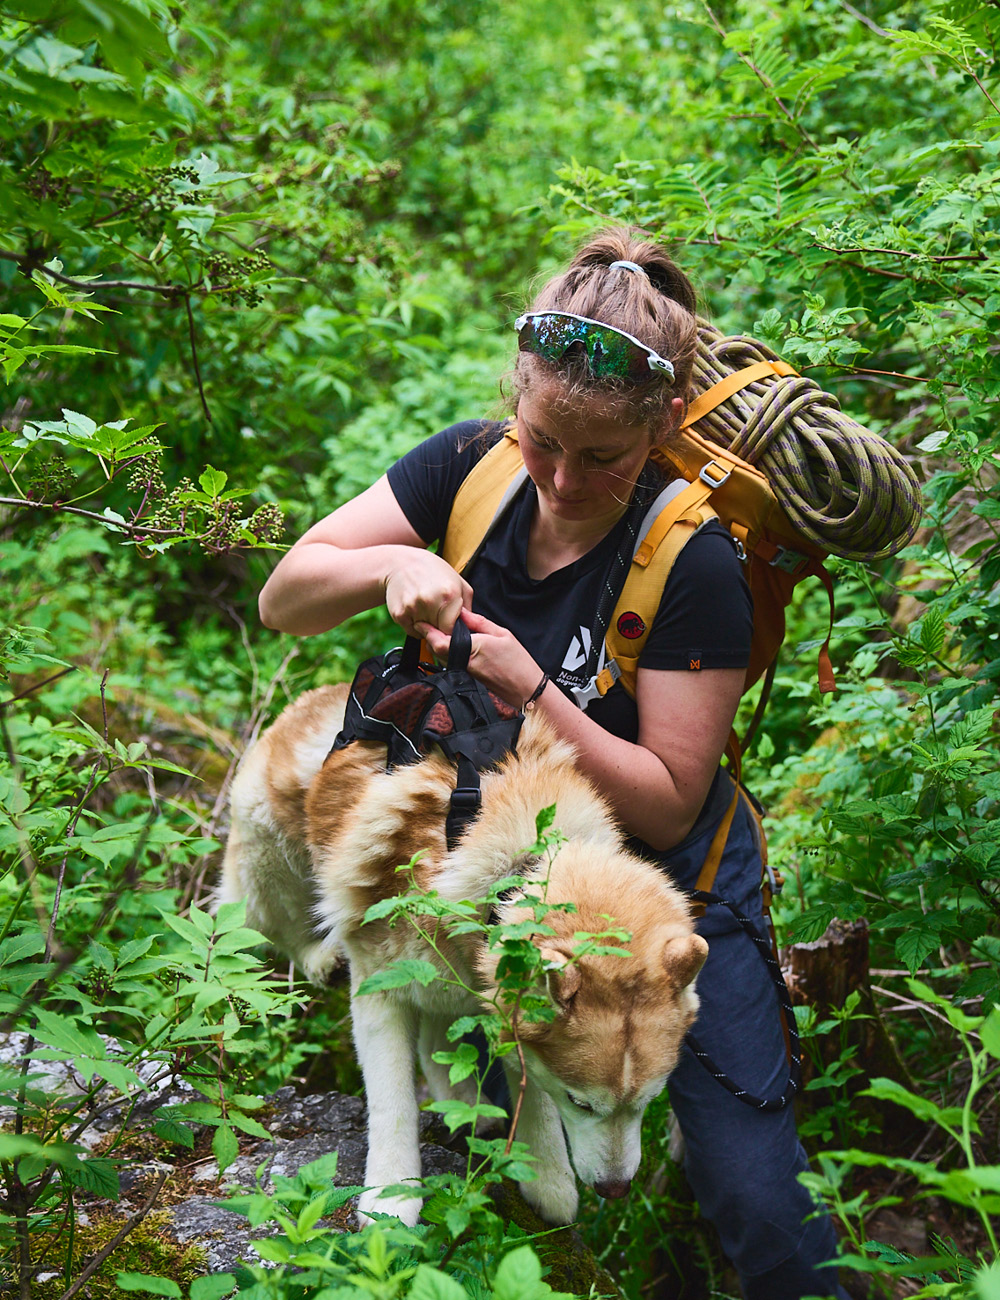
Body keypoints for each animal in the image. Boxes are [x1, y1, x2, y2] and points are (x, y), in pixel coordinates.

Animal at [219, 682, 708, 1226]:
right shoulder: (379, 992)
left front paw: (546, 1177)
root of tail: (316, 697)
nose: (616, 1190)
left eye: (648, 1100)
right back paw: (313, 956)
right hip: (268, 865)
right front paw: (392, 1197)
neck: (515, 868)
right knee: (251, 926)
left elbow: (528, 1091)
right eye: (580, 1104)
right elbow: (393, 1101)